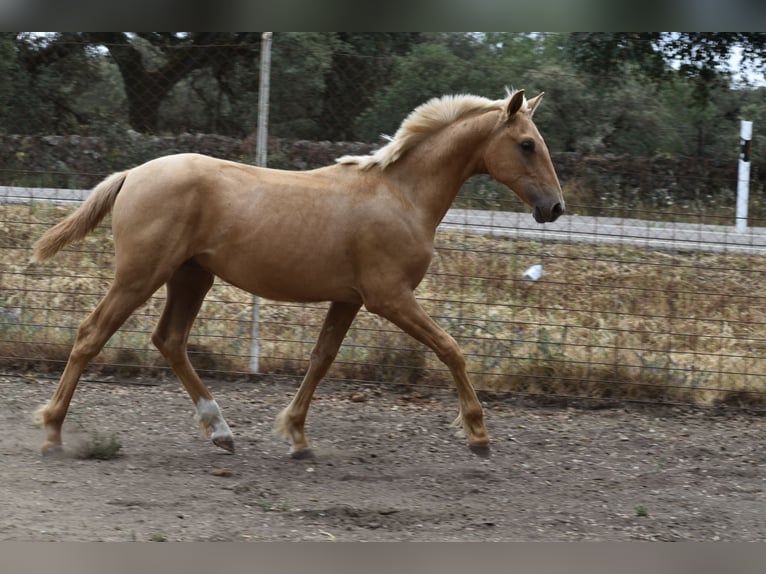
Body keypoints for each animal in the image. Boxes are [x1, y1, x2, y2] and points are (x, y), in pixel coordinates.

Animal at [31, 89, 564, 460]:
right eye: (526, 145)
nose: (555, 208)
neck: (402, 195)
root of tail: (132, 174)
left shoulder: (349, 299)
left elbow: (321, 359)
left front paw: (297, 436)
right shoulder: (389, 298)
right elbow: (451, 349)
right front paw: (478, 434)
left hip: (191, 276)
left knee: (170, 340)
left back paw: (221, 431)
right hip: (141, 275)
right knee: (91, 333)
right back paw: (53, 431)